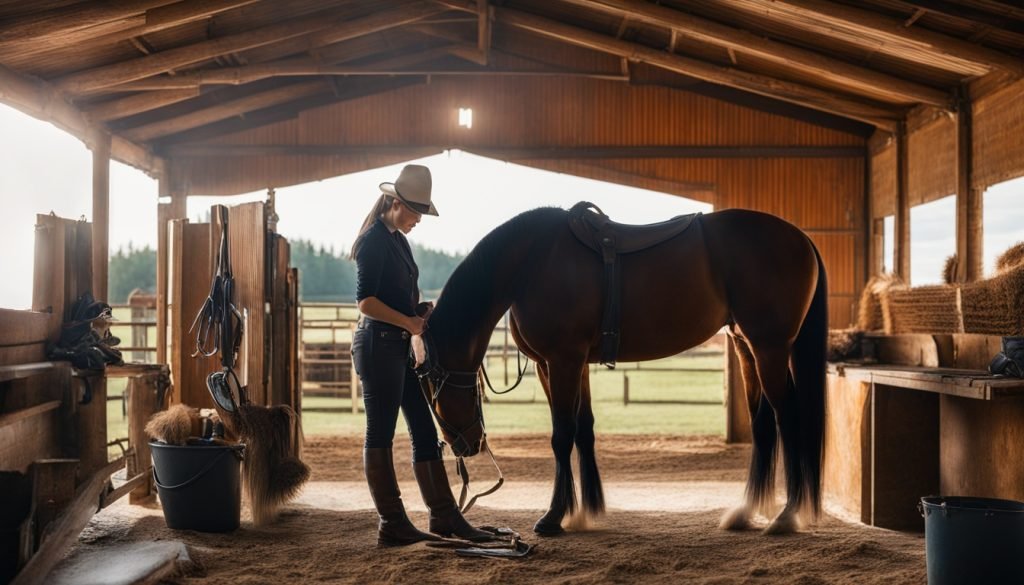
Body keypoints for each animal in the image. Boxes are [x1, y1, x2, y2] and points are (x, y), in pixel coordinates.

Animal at [414, 203, 827, 536]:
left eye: (432, 380)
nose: (464, 445)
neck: (533, 262)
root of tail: (801, 239)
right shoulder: (565, 365)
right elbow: (584, 430)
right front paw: (585, 511)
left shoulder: (561, 361)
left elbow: (561, 436)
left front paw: (553, 517)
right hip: (746, 347)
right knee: (763, 426)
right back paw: (746, 512)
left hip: (770, 348)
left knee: (788, 420)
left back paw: (786, 516)